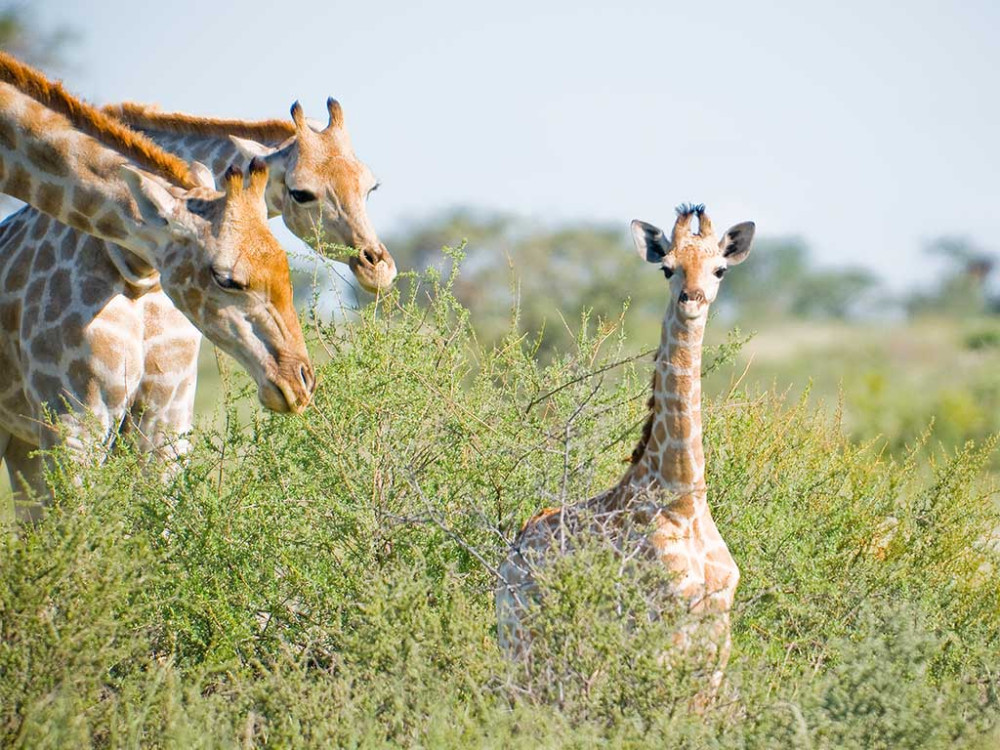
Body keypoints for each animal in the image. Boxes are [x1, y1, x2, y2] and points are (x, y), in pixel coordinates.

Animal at [497, 204, 755, 700]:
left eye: (720, 270)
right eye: (667, 268)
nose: (692, 300)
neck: (682, 498)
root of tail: (515, 547)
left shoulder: (717, 634)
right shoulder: (661, 625)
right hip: (520, 637)